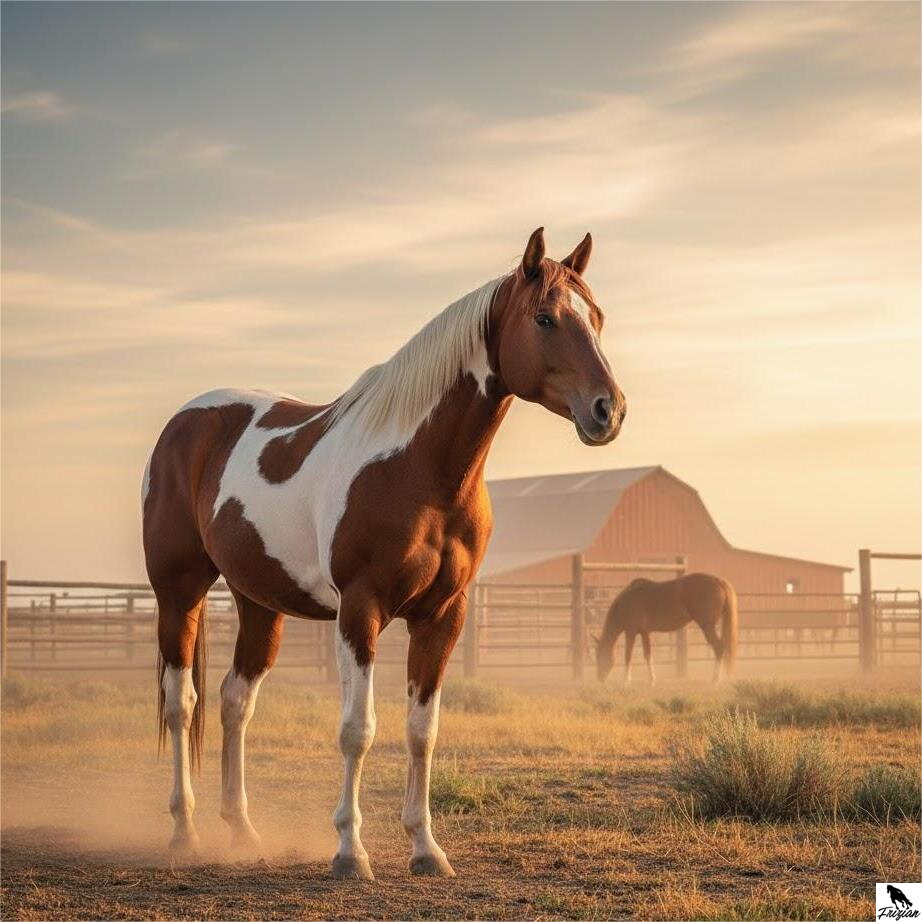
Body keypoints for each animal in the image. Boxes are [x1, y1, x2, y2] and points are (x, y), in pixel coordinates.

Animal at [143, 227, 626, 879]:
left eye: (596, 318)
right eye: (545, 317)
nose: (609, 410)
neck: (418, 469)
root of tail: (185, 421)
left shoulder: (443, 615)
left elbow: (422, 730)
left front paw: (426, 848)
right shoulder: (360, 609)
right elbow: (358, 729)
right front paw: (350, 851)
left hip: (258, 603)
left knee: (234, 702)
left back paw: (242, 831)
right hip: (179, 593)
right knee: (180, 703)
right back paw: (184, 831)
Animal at [593, 573, 737, 685]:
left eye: (599, 656)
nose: (599, 678)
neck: (626, 601)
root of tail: (718, 581)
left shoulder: (631, 632)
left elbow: (628, 655)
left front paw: (626, 680)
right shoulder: (645, 633)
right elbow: (648, 655)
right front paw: (652, 680)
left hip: (707, 626)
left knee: (719, 648)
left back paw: (715, 679)